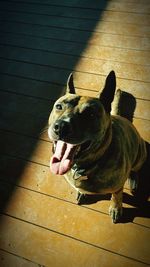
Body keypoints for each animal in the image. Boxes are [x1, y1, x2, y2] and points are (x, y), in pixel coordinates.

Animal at [48, 71, 148, 224]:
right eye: (59, 107)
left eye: (90, 114)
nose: (61, 127)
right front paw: (82, 193)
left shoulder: (117, 187)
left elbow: (116, 196)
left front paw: (116, 209)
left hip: (141, 152)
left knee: (136, 168)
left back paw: (133, 179)